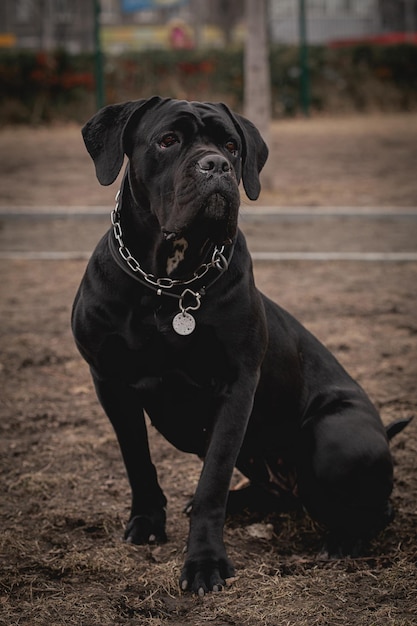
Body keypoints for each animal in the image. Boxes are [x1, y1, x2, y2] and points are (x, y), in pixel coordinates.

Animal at [71, 96, 406, 588]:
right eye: (167, 140)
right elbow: (138, 461)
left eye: (231, 145)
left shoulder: (236, 386)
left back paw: (344, 540)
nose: (217, 165)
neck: (167, 285)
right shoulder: (109, 380)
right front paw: (148, 522)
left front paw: (205, 562)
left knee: (378, 508)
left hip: (335, 435)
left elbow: (213, 480)